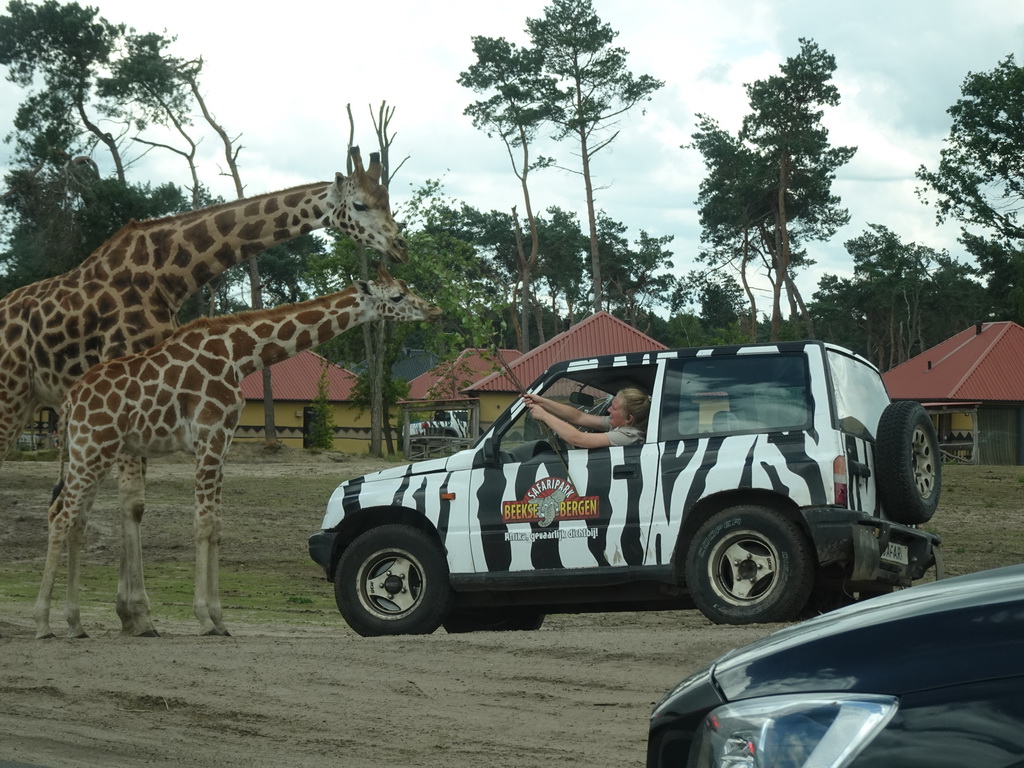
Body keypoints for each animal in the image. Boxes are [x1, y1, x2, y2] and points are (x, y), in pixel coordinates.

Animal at [30, 268, 440, 638]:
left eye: (407, 288)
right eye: (398, 296)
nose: (434, 310)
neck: (240, 354)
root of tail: (68, 403)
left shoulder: (224, 440)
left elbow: (217, 527)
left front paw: (220, 619)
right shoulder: (209, 436)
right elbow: (203, 524)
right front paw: (204, 619)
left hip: (93, 451)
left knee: (74, 520)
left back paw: (76, 624)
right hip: (92, 447)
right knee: (61, 517)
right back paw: (44, 625)